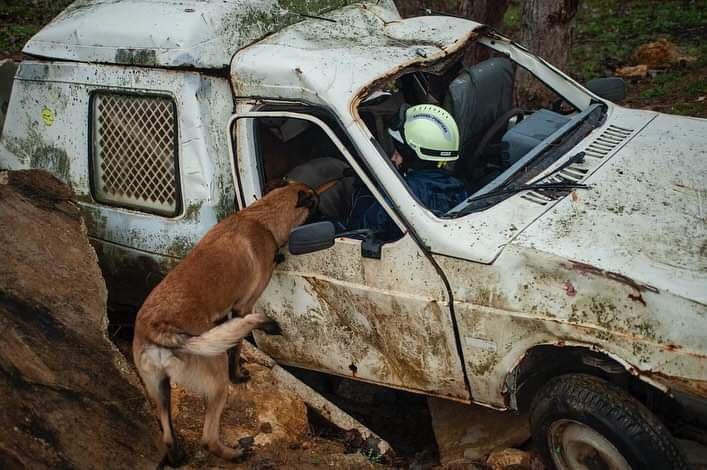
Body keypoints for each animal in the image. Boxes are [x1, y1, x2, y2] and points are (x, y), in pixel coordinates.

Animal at [133, 182, 334, 464]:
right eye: (316, 203)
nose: (331, 217)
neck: (260, 218)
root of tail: (157, 329)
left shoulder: (223, 318)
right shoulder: (243, 308)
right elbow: (237, 345)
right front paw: (237, 375)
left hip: (159, 390)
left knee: (168, 436)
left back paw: (178, 457)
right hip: (216, 383)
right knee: (208, 437)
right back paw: (234, 454)